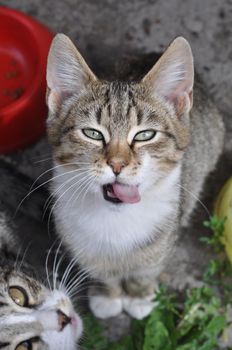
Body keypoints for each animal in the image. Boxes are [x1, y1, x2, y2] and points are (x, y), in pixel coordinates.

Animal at [45, 34, 225, 320]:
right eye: (92, 133)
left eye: (145, 135)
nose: (117, 164)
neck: (116, 219)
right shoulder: (77, 239)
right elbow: (100, 269)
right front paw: (108, 295)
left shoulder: (163, 238)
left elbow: (147, 268)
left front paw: (139, 297)